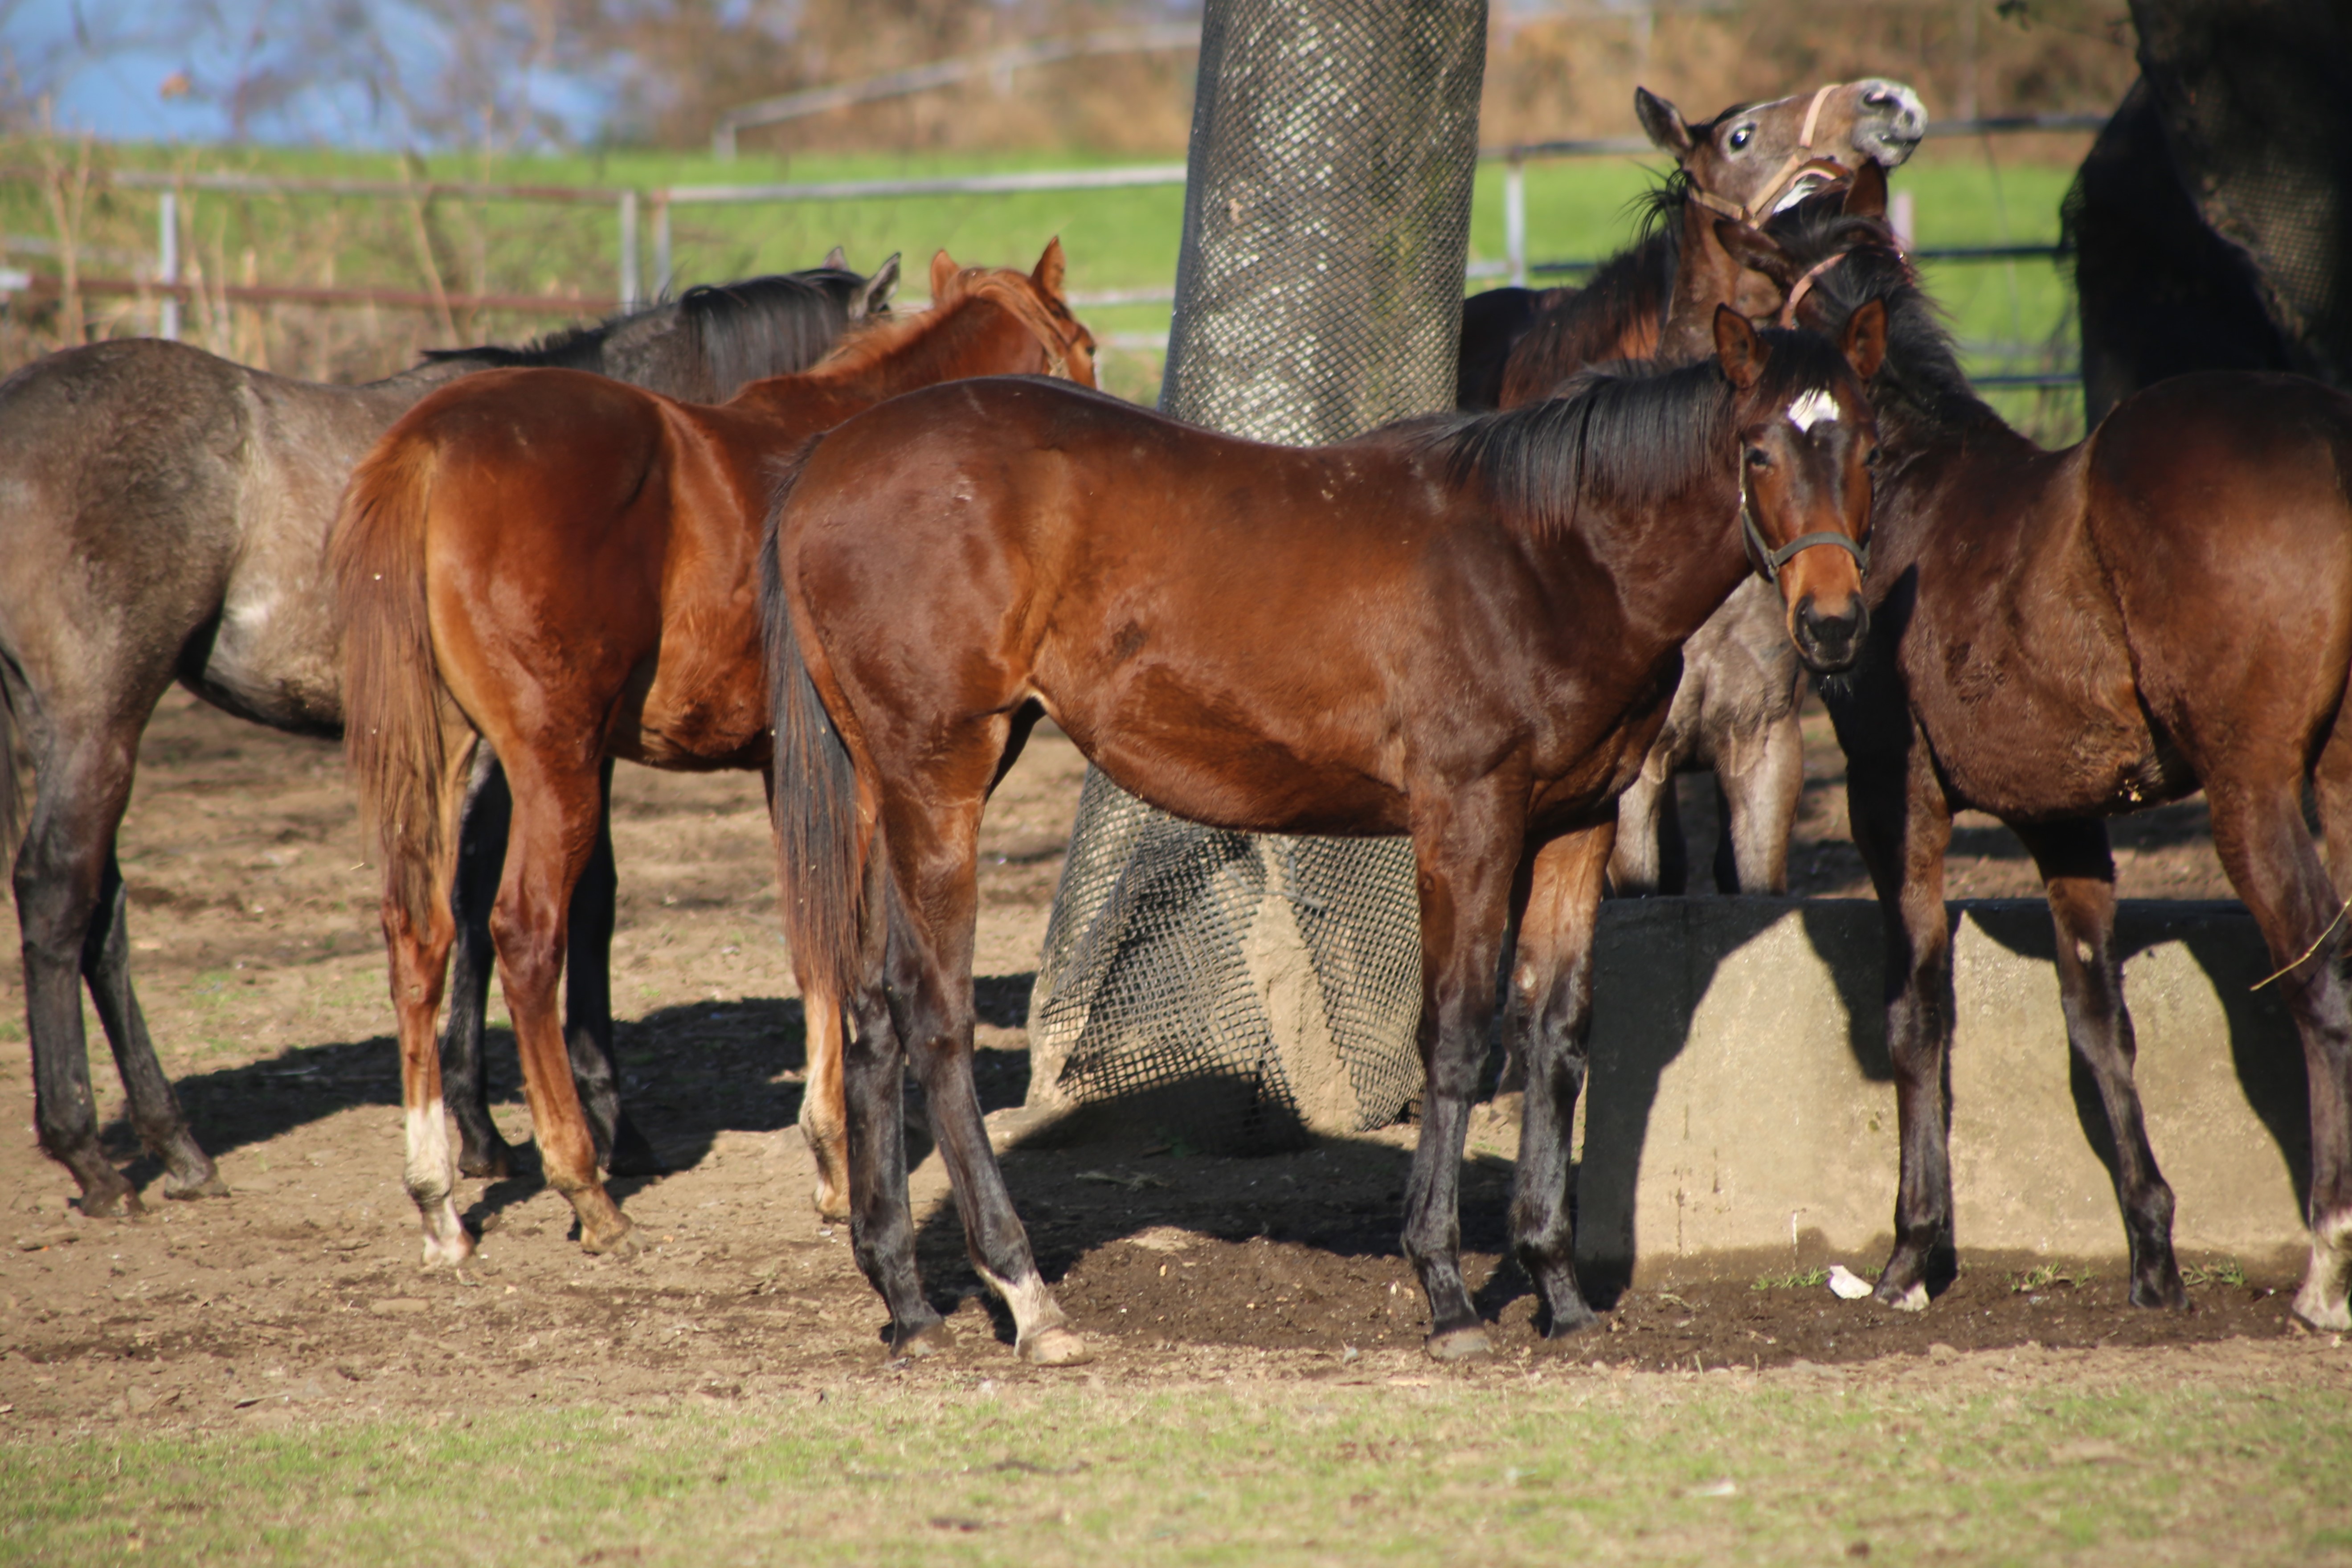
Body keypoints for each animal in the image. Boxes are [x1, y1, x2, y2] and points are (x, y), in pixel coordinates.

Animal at [0, 251, 889, 1222]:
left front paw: (488, 1130)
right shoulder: (538, 756)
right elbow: (550, 904)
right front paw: (571, 1129)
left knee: (103, 909)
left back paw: (177, 1145)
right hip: (98, 716)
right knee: (58, 890)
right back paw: (90, 1154)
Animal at [331, 248, 1100, 1279]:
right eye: (1083, 347)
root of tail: (432, 444)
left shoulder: (789, 774)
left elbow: (810, 937)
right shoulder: (853, 778)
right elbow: (836, 939)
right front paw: (838, 1162)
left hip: (447, 761)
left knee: (419, 933)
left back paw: (438, 1201)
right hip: (553, 764)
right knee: (526, 932)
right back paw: (584, 1185)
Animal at [771, 297, 1891, 1363]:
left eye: (1869, 448)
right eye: (1757, 449)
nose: (1833, 622)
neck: (1546, 553)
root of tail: (824, 455)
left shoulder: (1576, 824)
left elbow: (1554, 1037)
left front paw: (1559, 1291)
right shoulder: (1465, 816)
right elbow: (1456, 1034)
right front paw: (1446, 1291)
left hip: (893, 786)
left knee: (872, 1011)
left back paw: (908, 1302)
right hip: (940, 779)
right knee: (933, 1018)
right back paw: (1026, 1295)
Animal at [1750, 172, 2352, 1335]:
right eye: (1763, 446)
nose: (1827, 624)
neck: (1914, 489)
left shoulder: (1897, 798)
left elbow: (1917, 1010)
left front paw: (1910, 1254)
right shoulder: (2062, 819)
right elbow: (2097, 1021)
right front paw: (2152, 1259)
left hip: (2253, 794)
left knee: (2318, 985)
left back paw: (2326, 1270)